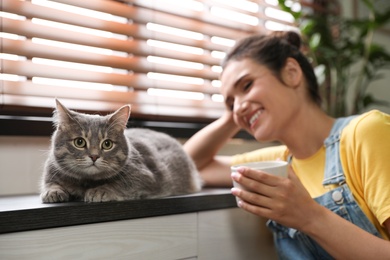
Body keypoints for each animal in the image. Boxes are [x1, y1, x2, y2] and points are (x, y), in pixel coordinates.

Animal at [40, 99, 201, 203]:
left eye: (107, 144)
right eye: (79, 142)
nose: (94, 156)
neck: (87, 182)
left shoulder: (146, 176)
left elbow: (121, 184)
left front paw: (100, 190)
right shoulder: (51, 171)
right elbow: (50, 183)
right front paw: (53, 191)